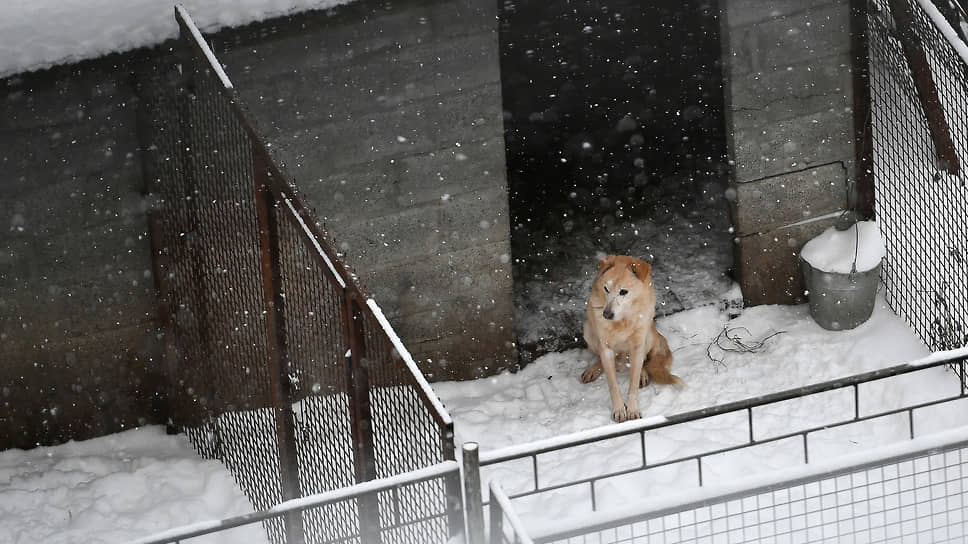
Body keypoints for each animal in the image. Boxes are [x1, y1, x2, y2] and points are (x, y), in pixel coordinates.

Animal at [581, 255, 681, 422]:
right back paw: (593, 369)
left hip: (647, 336)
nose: (606, 314)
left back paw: (642, 373)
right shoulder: (606, 348)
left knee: (642, 361)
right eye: (606, 289)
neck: (623, 320)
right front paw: (619, 409)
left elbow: (633, 384)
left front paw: (632, 410)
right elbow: (613, 384)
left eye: (623, 292)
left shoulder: (638, 344)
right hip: (588, 331)